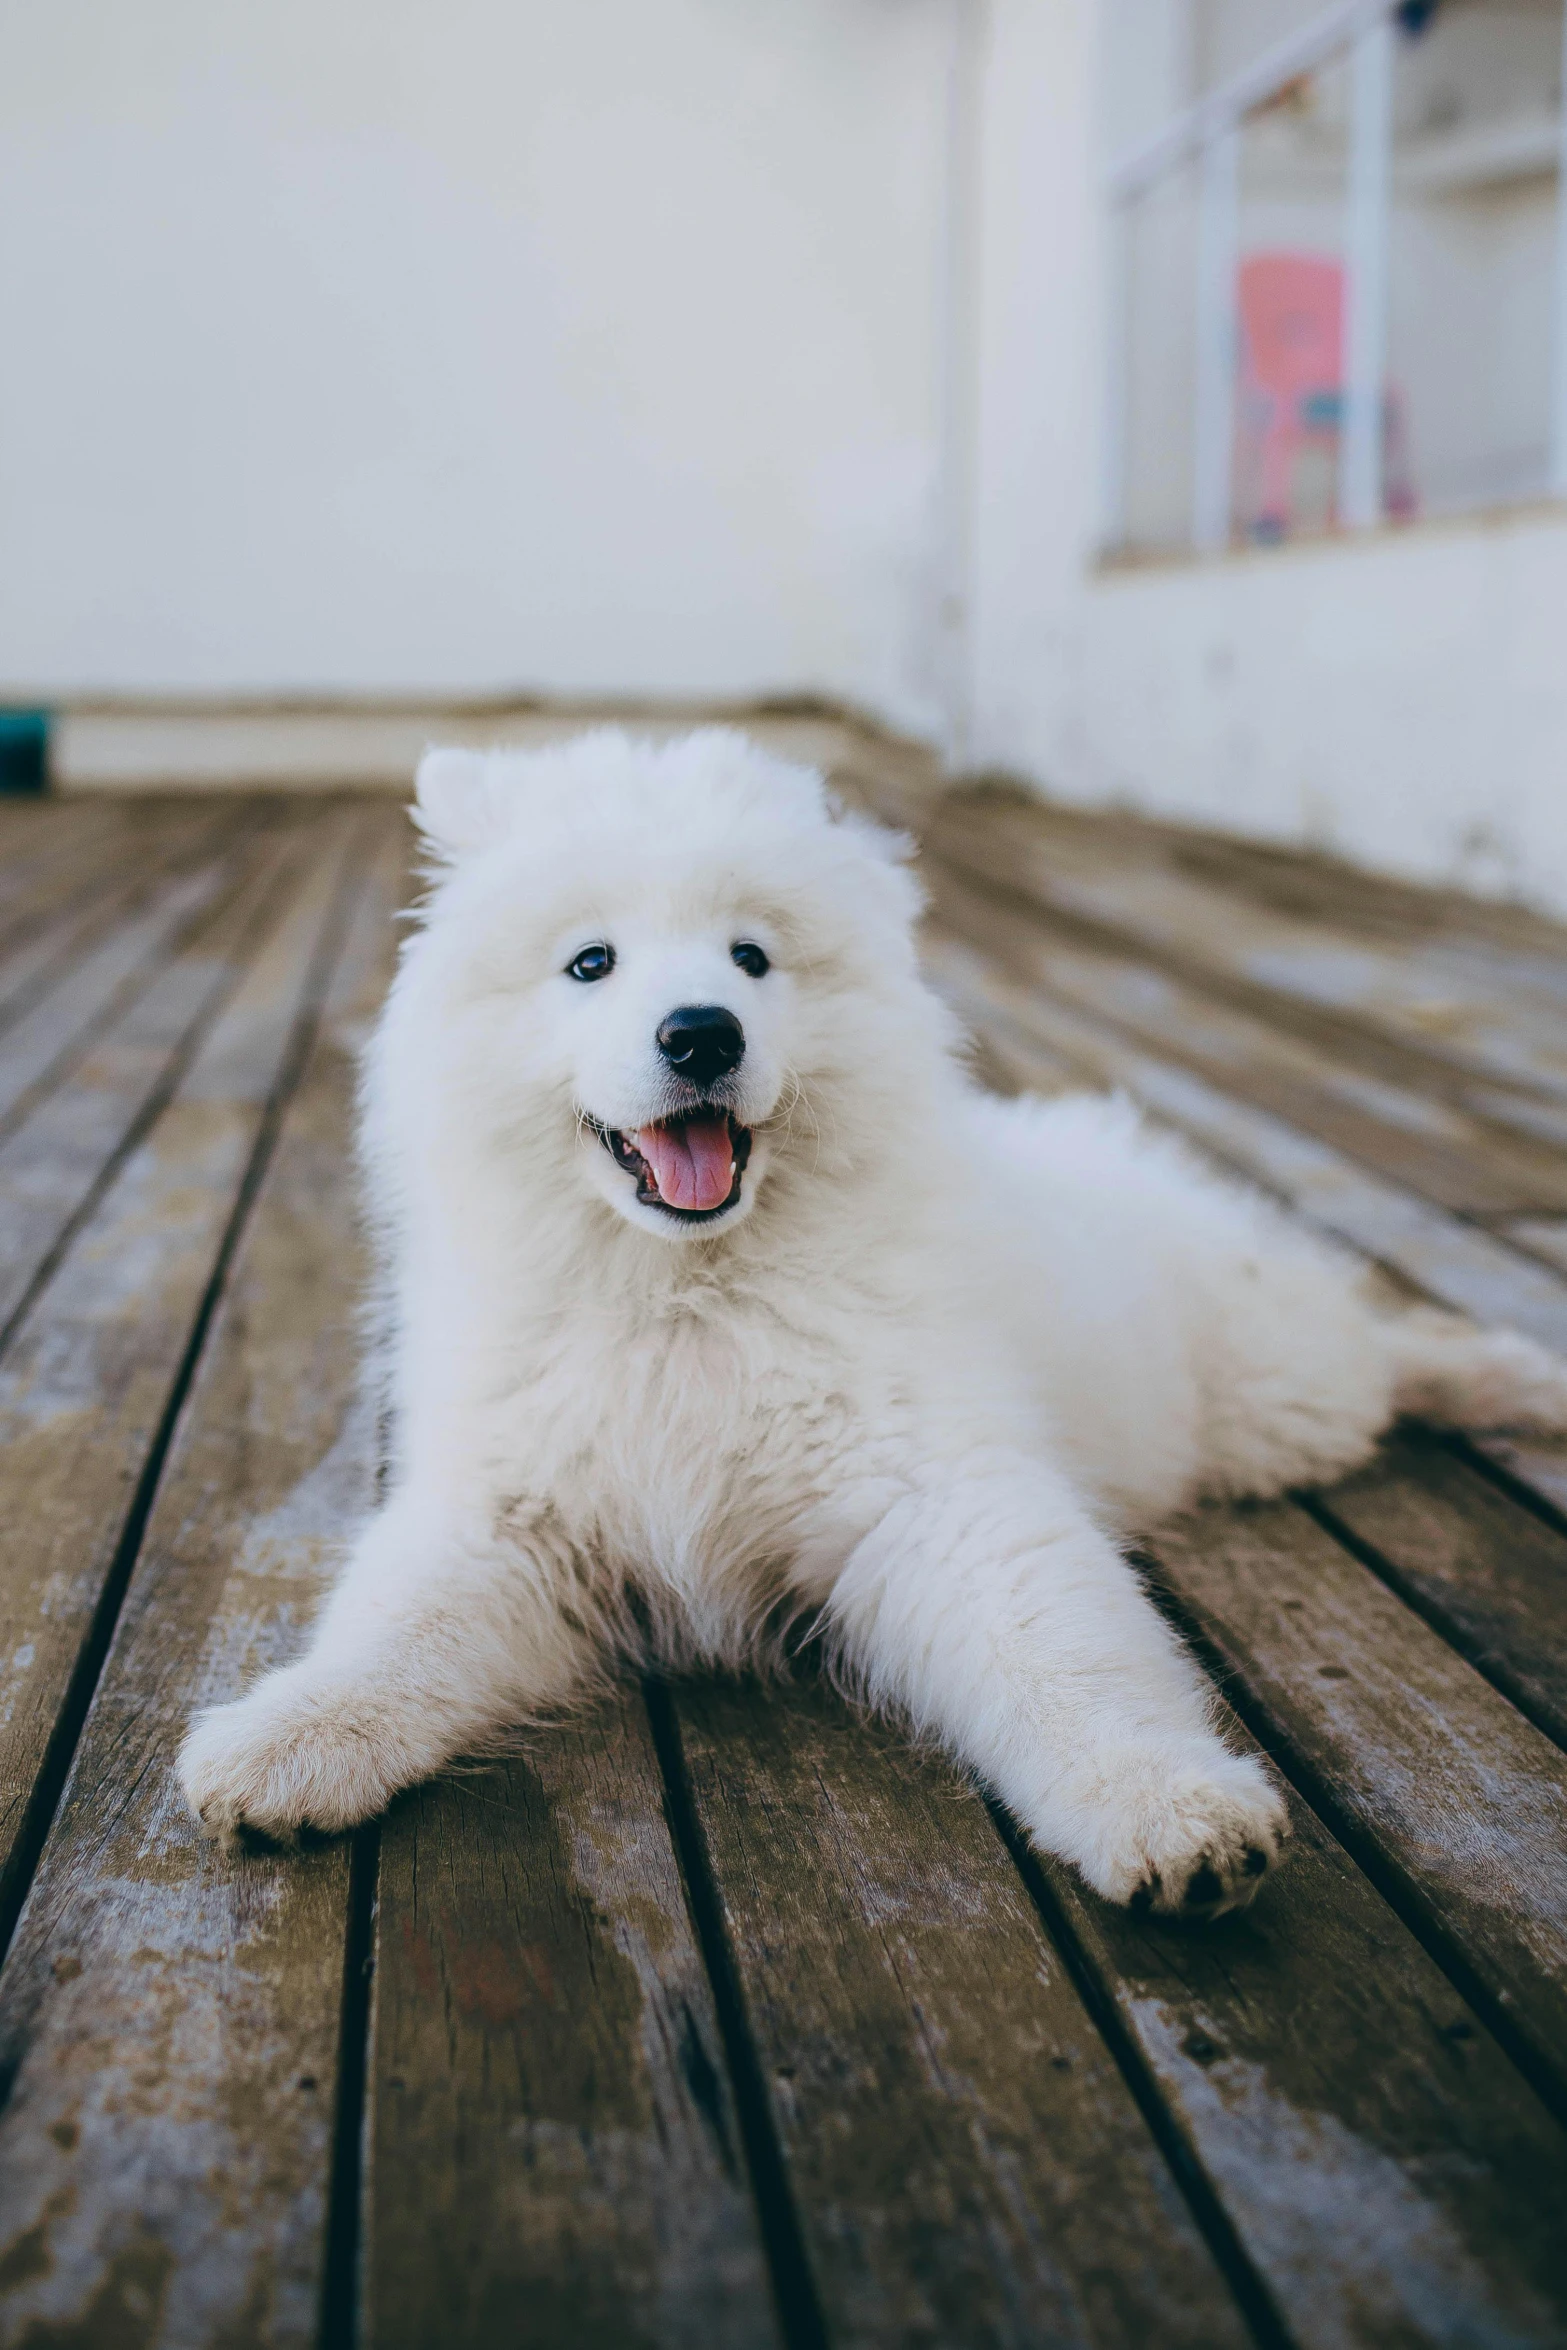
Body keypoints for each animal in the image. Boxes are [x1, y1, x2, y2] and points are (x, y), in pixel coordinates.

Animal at [180, 723, 1567, 1917]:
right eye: (590, 963)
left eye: (752, 957)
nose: (701, 1033)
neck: (689, 1295)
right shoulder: (510, 1516)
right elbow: (390, 1633)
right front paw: (289, 1739)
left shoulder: (941, 1496)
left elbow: (1070, 1657)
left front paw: (1166, 1805)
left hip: (1272, 1390)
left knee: (1380, 1348)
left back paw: (1510, 1377)